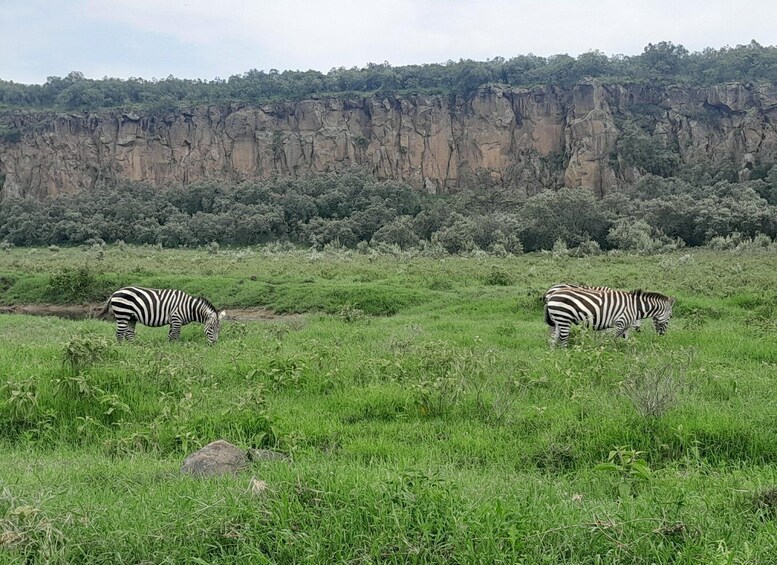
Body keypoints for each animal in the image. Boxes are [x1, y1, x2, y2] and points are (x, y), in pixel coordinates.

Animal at [544, 288, 672, 346]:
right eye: (671, 316)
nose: (662, 335)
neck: (635, 307)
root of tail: (551, 295)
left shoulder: (626, 326)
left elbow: (624, 340)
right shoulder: (619, 323)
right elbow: (612, 340)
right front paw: (609, 352)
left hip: (558, 320)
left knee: (553, 339)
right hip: (563, 318)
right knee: (563, 340)